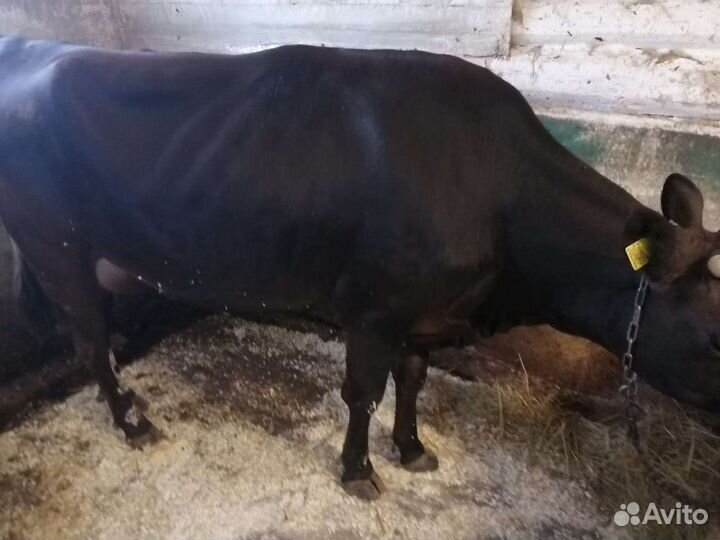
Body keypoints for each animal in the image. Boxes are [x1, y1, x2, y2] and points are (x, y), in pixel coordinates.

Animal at [1, 36, 719, 500]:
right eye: (712, 336)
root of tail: (30, 45)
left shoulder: (426, 312)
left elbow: (412, 380)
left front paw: (413, 450)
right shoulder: (376, 308)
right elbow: (363, 393)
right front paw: (358, 472)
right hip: (55, 247)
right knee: (91, 340)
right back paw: (131, 422)